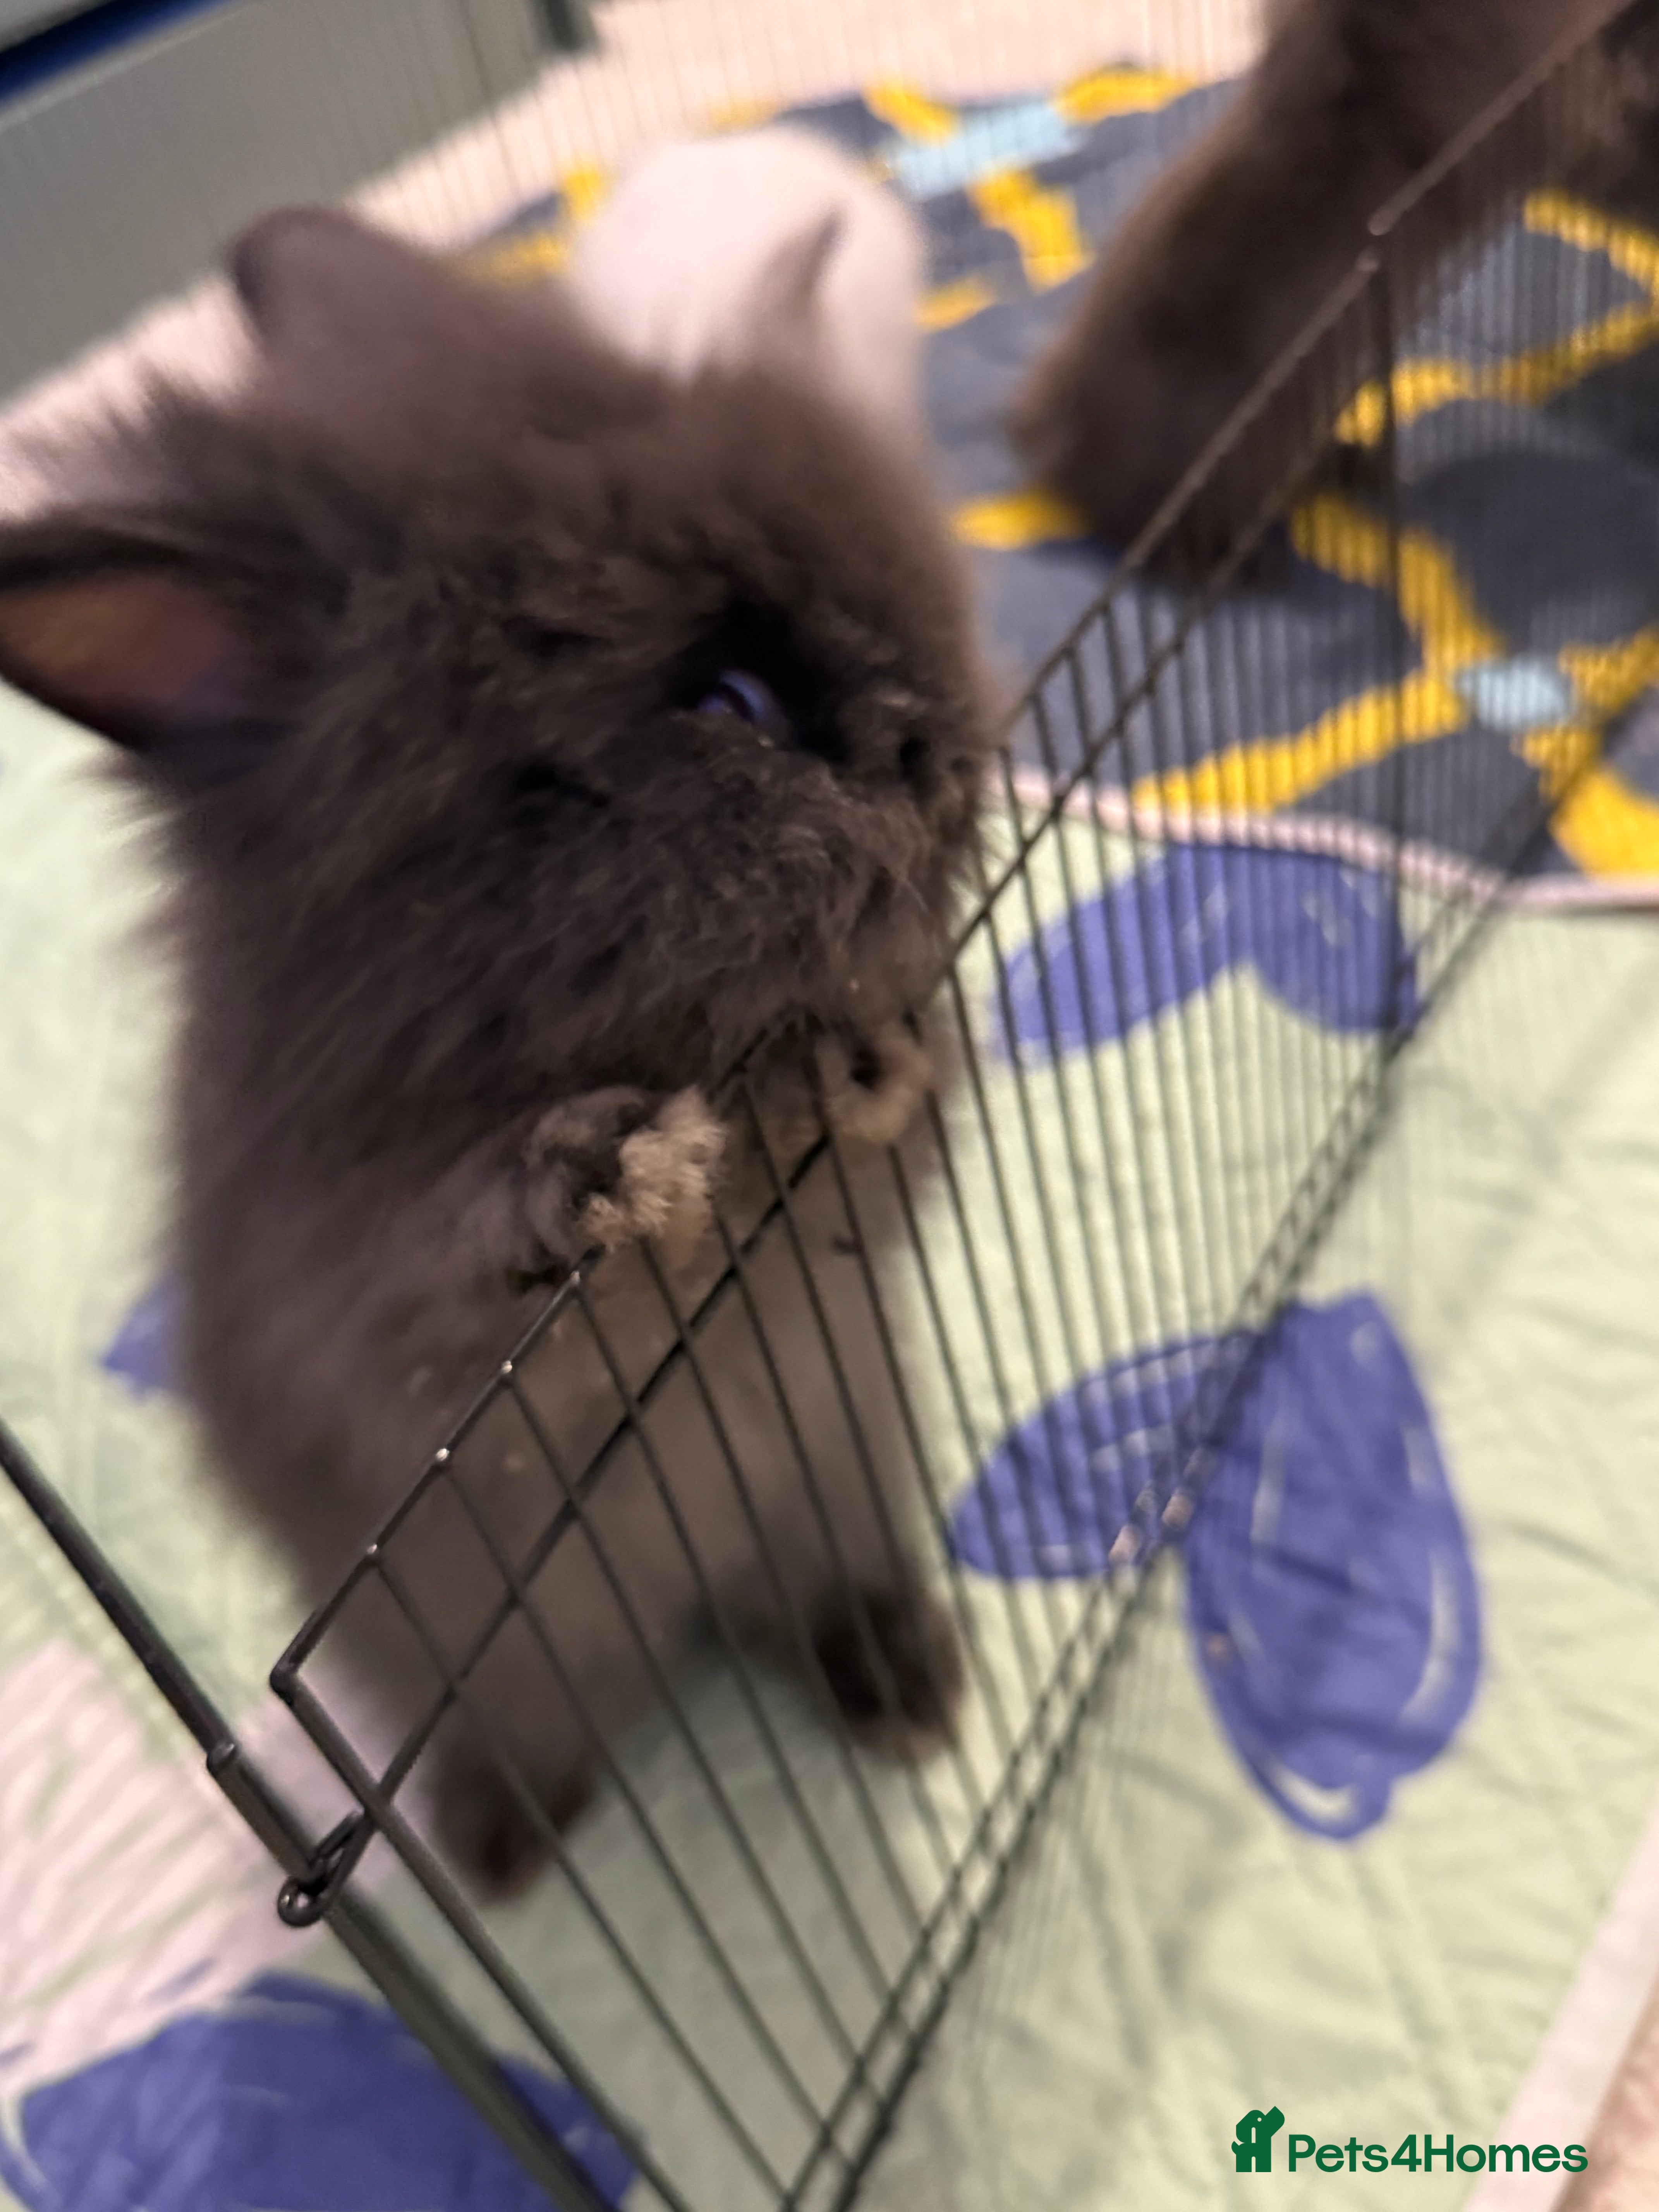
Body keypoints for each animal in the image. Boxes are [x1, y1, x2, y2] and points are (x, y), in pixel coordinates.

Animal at [0, 203, 992, 1898]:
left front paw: (862, 1065)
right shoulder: (389, 1319)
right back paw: (503, 1853)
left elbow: (870, 1134)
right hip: (482, 1664)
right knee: (525, 1734)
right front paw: (615, 1169)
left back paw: (912, 1699)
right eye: (731, 697)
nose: (957, 746)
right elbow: (490, 1264)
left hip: (841, 1495)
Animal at [1009, 0, 1652, 565]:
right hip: (1205, 488)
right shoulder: (1553, 102)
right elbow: (1596, 123)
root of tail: (1046, 439)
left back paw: (1355, 463)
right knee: (1151, 540)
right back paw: (1250, 567)